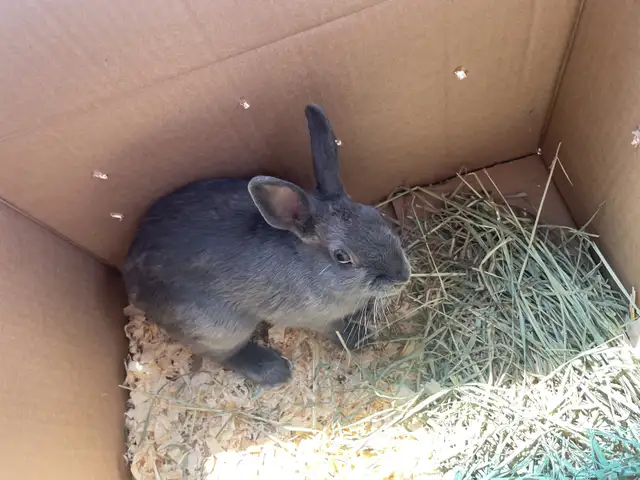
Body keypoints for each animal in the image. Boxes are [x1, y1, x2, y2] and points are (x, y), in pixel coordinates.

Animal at [122, 104, 411, 386]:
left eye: (375, 214)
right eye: (342, 256)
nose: (402, 276)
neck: (311, 267)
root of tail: (131, 279)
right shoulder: (318, 318)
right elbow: (336, 330)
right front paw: (362, 339)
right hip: (219, 326)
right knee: (221, 354)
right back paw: (274, 370)